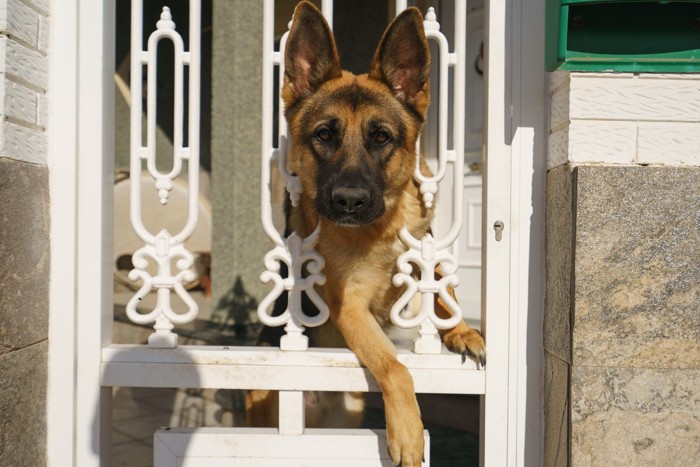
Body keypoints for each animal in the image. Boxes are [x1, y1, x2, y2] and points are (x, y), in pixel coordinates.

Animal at [249, 2, 484, 464]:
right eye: (324, 134)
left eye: (381, 138)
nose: (349, 202)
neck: (378, 231)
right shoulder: (350, 307)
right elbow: (394, 365)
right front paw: (408, 431)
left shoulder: (424, 251)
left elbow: (444, 288)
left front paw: (462, 330)